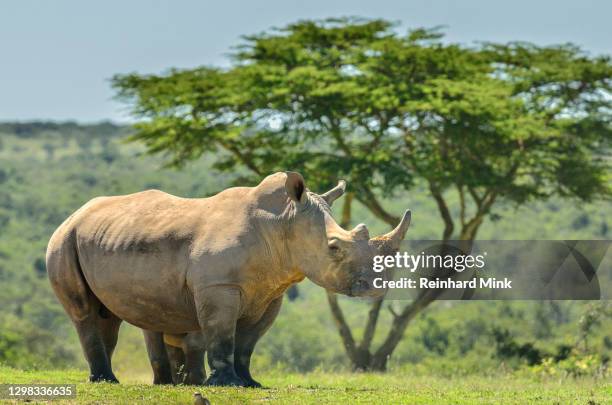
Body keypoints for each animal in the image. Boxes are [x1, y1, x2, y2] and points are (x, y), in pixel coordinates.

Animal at [46, 171, 412, 386]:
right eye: (334, 248)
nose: (374, 289)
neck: (282, 223)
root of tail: (76, 212)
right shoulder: (218, 286)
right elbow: (222, 334)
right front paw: (225, 384)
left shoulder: (270, 293)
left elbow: (248, 342)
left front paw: (249, 383)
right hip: (63, 240)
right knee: (84, 312)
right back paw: (105, 381)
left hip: (100, 237)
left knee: (108, 315)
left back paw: (110, 379)